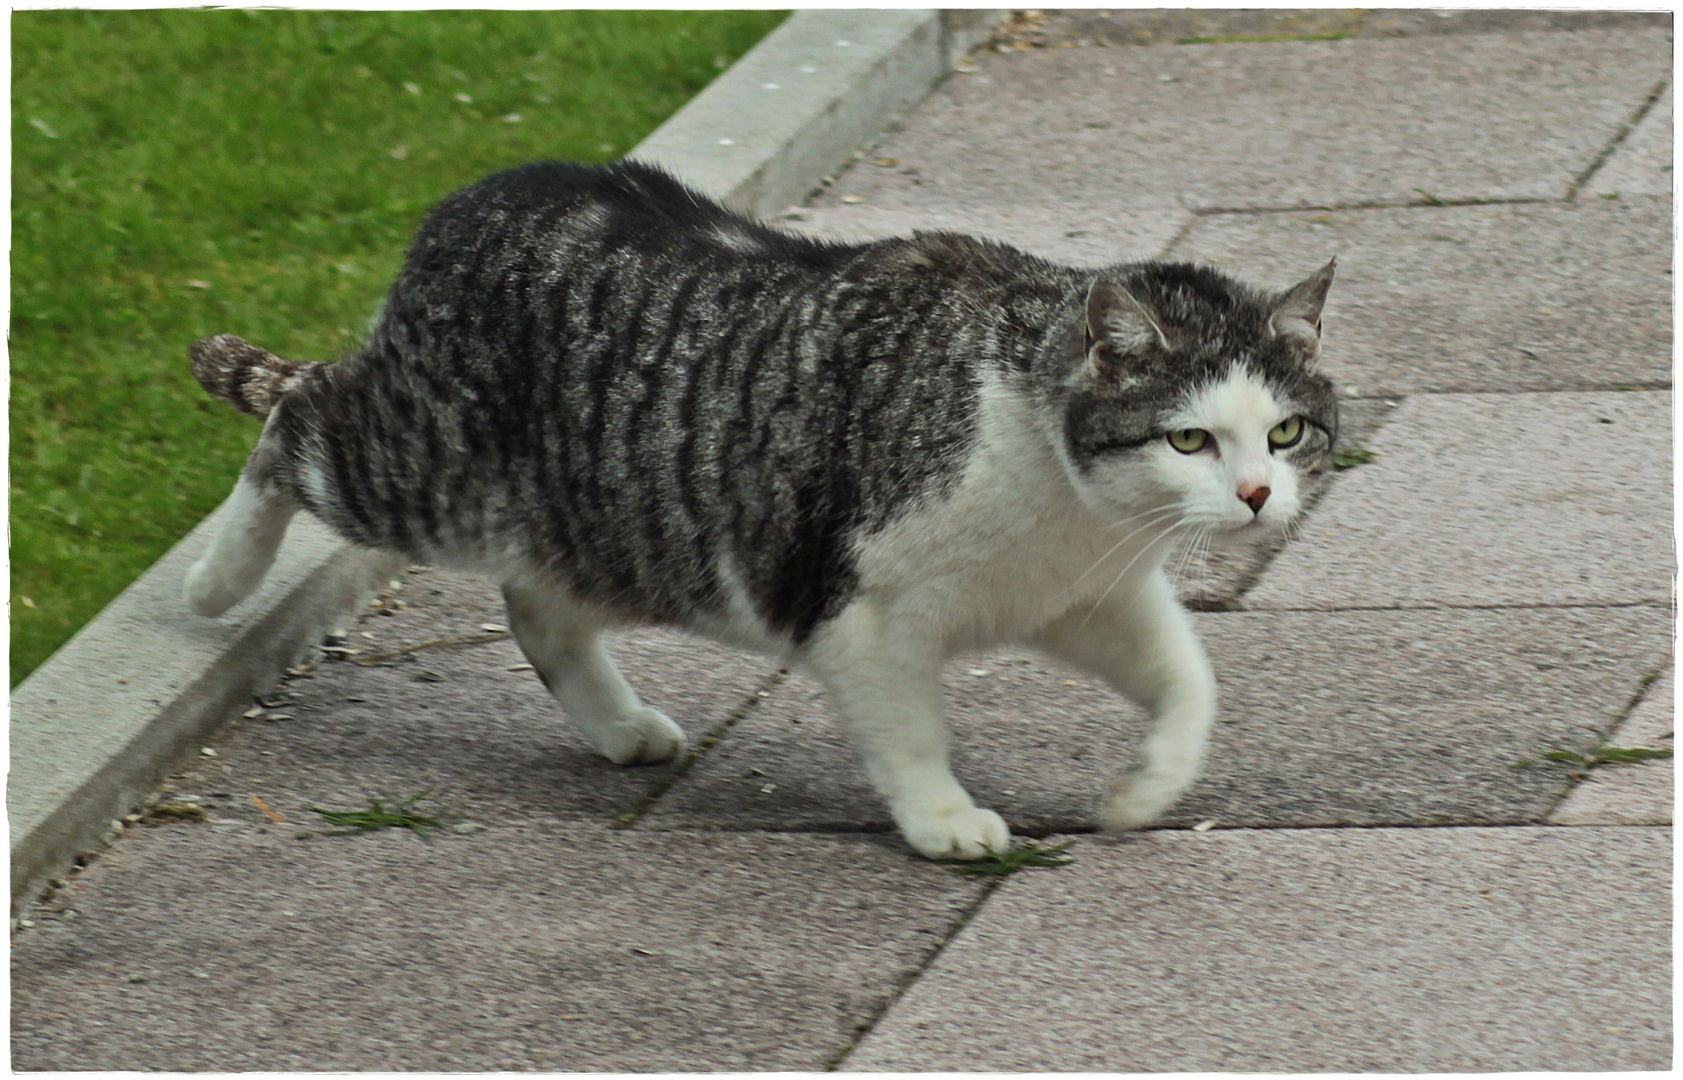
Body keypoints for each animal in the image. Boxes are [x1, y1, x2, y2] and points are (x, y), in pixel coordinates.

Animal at [187, 159, 1339, 861]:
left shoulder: (1086, 596)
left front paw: (1144, 791)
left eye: (1286, 433)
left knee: (538, 609)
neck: (1065, 499)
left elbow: (1188, 682)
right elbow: (908, 729)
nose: (1254, 497)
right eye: (1189, 439)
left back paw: (620, 728)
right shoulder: (859, 612)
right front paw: (943, 819)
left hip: (613, 519)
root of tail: (468, 197)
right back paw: (213, 579)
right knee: (290, 415)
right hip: (420, 469)